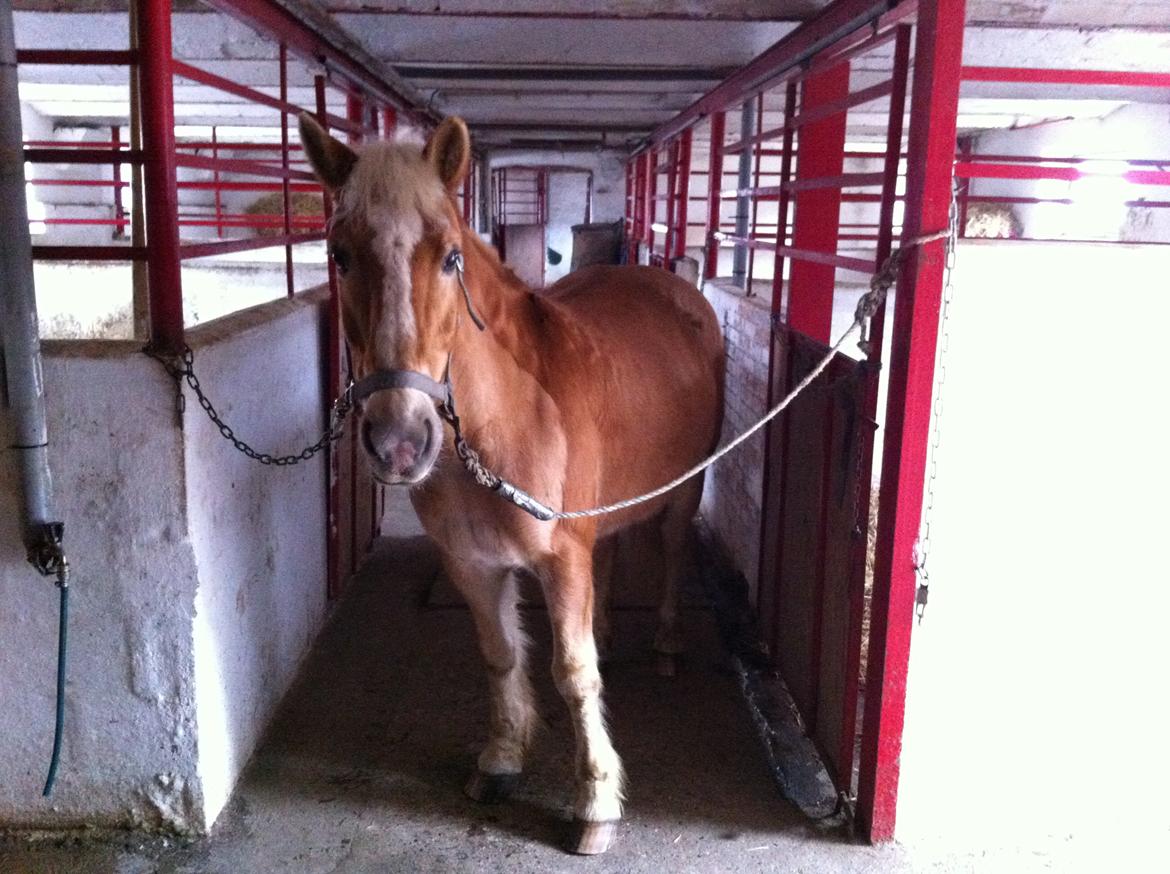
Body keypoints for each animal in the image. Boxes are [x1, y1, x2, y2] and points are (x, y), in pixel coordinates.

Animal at [299, 114, 720, 856]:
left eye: (450, 258)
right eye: (340, 255)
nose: (399, 440)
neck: (504, 422)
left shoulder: (560, 560)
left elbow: (574, 674)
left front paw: (595, 801)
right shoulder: (471, 563)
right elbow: (500, 656)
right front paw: (499, 760)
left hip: (681, 493)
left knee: (671, 550)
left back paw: (668, 643)